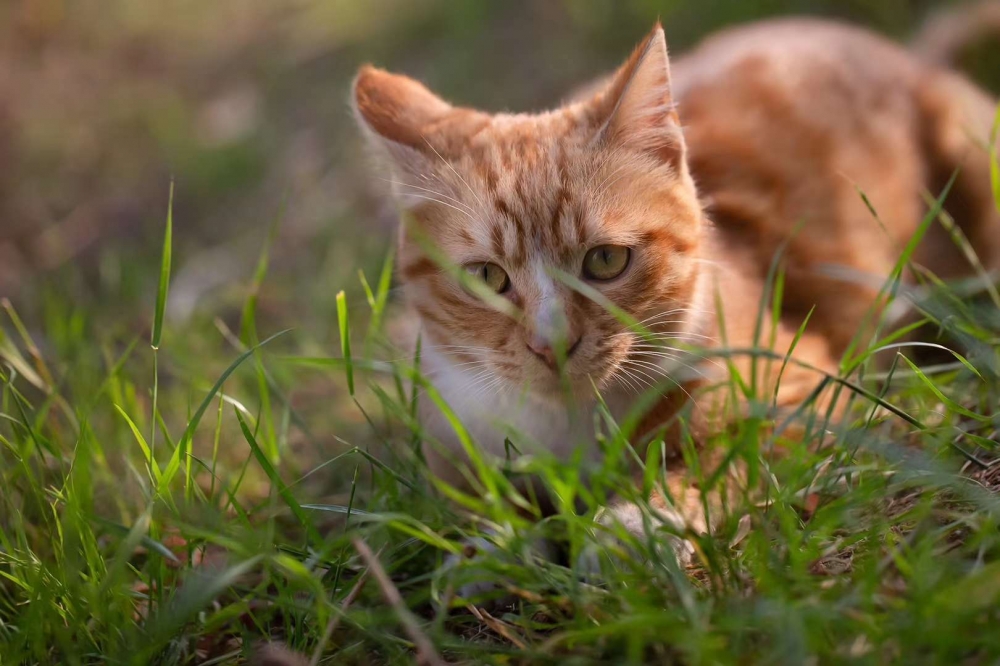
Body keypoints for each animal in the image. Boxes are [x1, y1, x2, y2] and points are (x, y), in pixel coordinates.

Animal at [350, 14, 992, 564]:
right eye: (486, 277)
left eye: (606, 260)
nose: (551, 342)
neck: (568, 431)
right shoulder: (447, 434)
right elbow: (467, 495)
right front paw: (489, 543)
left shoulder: (806, 394)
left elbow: (717, 460)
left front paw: (636, 521)